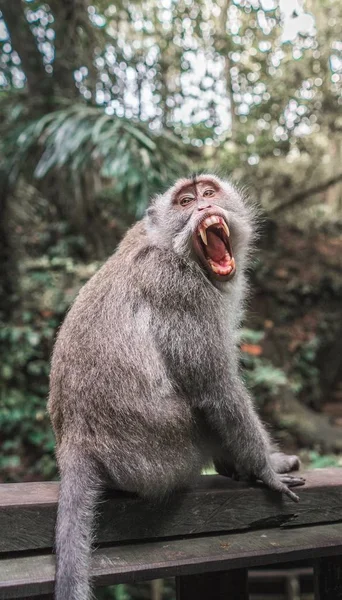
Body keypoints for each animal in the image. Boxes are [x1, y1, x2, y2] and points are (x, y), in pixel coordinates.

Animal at [48, 176, 304, 600]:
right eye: (185, 201)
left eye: (209, 193)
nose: (203, 208)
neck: (175, 248)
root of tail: (75, 439)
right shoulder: (180, 289)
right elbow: (216, 388)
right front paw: (266, 469)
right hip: (163, 453)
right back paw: (237, 465)